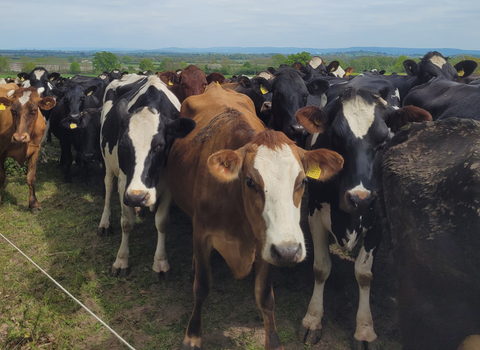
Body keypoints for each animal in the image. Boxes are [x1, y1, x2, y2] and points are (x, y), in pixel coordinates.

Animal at [98, 74, 196, 278]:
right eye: (123, 144)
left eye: (160, 145)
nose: (137, 196)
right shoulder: (124, 183)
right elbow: (126, 222)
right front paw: (121, 260)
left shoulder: (168, 184)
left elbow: (162, 222)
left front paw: (160, 262)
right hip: (108, 163)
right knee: (108, 187)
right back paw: (105, 222)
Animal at [167, 85, 344, 350]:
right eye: (250, 181)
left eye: (303, 181)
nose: (290, 251)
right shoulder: (202, 231)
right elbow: (202, 286)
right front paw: (193, 335)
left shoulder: (267, 242)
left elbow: (265, 296)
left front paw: (274, 342)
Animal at [294, 87, 434, 348]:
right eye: (335, 137)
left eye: (383, 141)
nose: (359, 199)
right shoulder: (315, 213)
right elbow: (321, 267)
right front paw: (312, 319)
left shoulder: (377, 218)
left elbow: (364, 274)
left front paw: (365, 330)